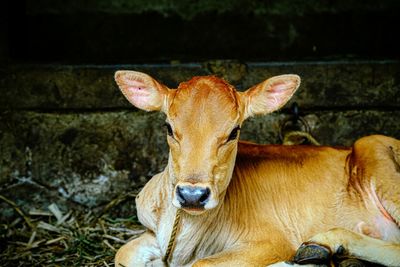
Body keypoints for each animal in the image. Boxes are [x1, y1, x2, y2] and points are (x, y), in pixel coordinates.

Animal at [112, 71, 400, 267]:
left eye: (234, 132)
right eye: (169, 128)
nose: (192, 195)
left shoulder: (271, 240)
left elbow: (201, 263)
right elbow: (122, 253)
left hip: (376, 152)